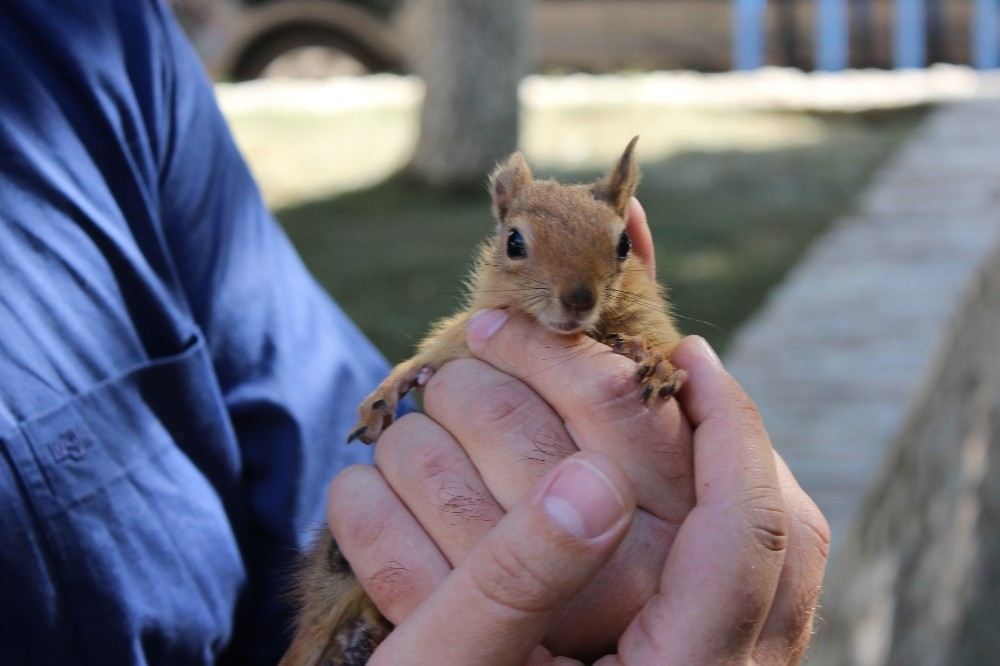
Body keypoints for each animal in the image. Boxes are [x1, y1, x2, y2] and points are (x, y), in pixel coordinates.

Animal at [282, 137, 688, 660]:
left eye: (623, 244)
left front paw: (654, 361)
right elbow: (434, 348)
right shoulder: (467, 330)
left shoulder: (654, 323)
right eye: (514, 242)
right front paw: (389, 388)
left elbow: (663, 346)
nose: (579, 298)